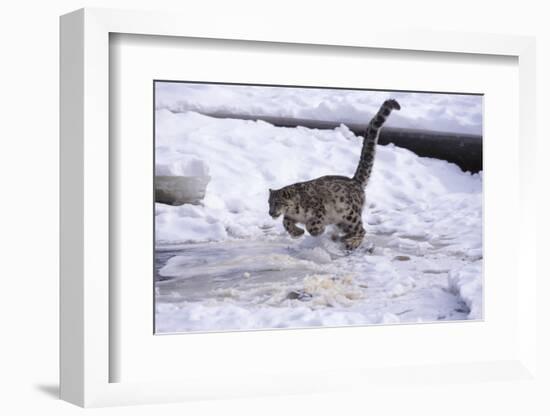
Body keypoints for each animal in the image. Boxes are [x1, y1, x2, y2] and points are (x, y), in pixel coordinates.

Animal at [268, 98, 402, 250]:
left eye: (277, 202)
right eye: (269, 202)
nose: (270, 212)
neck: (296, 212)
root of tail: (355, 181)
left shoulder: (318, 208)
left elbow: (312, 223)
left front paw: (317, 230)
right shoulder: (290, 217)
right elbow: (285, 222)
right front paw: (297, 232)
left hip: (350, 214)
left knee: (361, 229)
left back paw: (351, 242)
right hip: (343, 220)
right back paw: (343, 237)